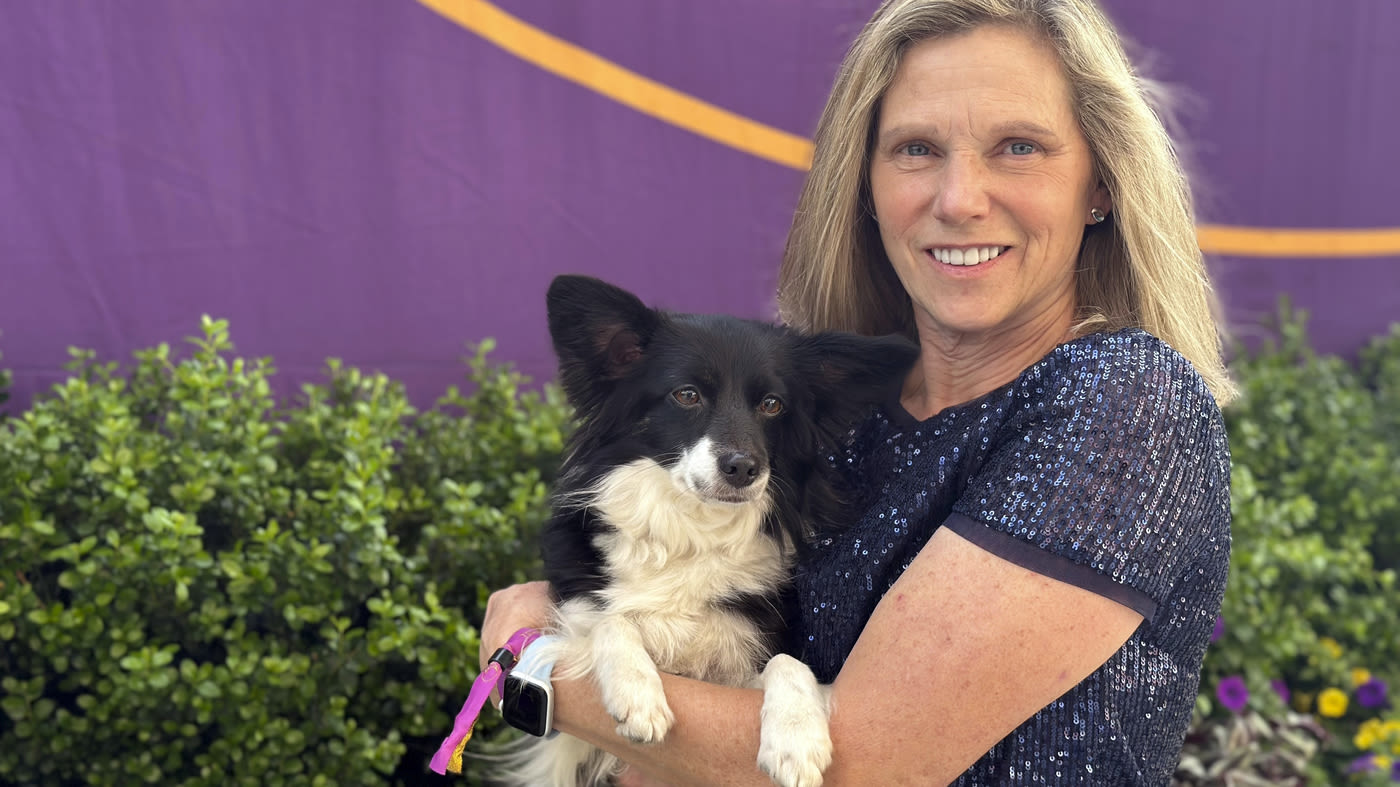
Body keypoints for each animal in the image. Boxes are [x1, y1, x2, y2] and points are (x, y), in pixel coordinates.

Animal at [509, 274, 924, 784]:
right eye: (687, 395)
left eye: (772, 404)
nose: (744, 468)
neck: (693, 529)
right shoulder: (574, 619)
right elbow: (611, 620)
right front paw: (637, 692)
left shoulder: (744, 660)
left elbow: (788, 662)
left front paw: (796, 738)